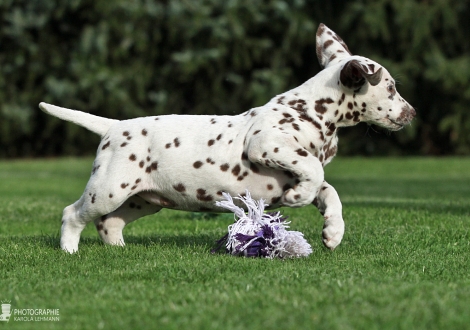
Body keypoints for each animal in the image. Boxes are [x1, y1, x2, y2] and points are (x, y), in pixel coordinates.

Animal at [40, 24, 414, 254]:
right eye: (391, 87)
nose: (411, 113)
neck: (309, 112)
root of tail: (113, 126)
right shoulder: (267, 145)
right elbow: (314, 170)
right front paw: (297, 198)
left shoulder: (299, 169)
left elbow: (328, 190)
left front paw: (333, 232)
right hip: (108, 189)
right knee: (72, 214)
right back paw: (69, 250)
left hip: (142, 199)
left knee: (109, 223)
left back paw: (118, 251)